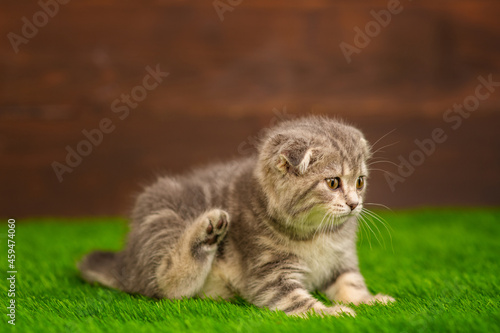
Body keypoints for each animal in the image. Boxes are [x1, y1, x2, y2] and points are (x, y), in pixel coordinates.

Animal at [80, 115, 394, 316]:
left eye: (360, 182)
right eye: (332, 183)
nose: (354, 204)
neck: (316, 234)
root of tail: (126, 261)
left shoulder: (341, 261)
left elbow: (350, 282)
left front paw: (369, 300)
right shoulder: (268, 272)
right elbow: (293, 300)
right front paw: (332, 313)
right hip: (163, 217)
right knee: (167, 284)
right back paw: (207, 232)